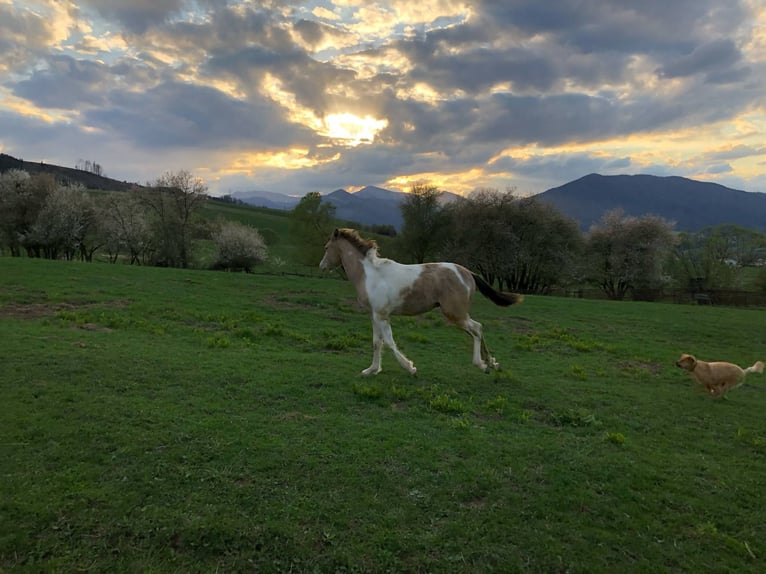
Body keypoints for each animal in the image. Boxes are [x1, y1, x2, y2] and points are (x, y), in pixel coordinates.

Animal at [319, 228, 523, 375]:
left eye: (327, 247)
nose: (322, 266)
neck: (371, 275)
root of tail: (468, 273)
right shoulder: (374, 315)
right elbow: (377, 342)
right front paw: (371, 370)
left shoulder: (382, 315)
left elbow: (389, 342)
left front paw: (409, 367)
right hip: (458, 314)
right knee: (477, 329)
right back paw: (492, 363)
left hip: (455, 314)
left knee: (477, 329)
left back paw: (481, 364)